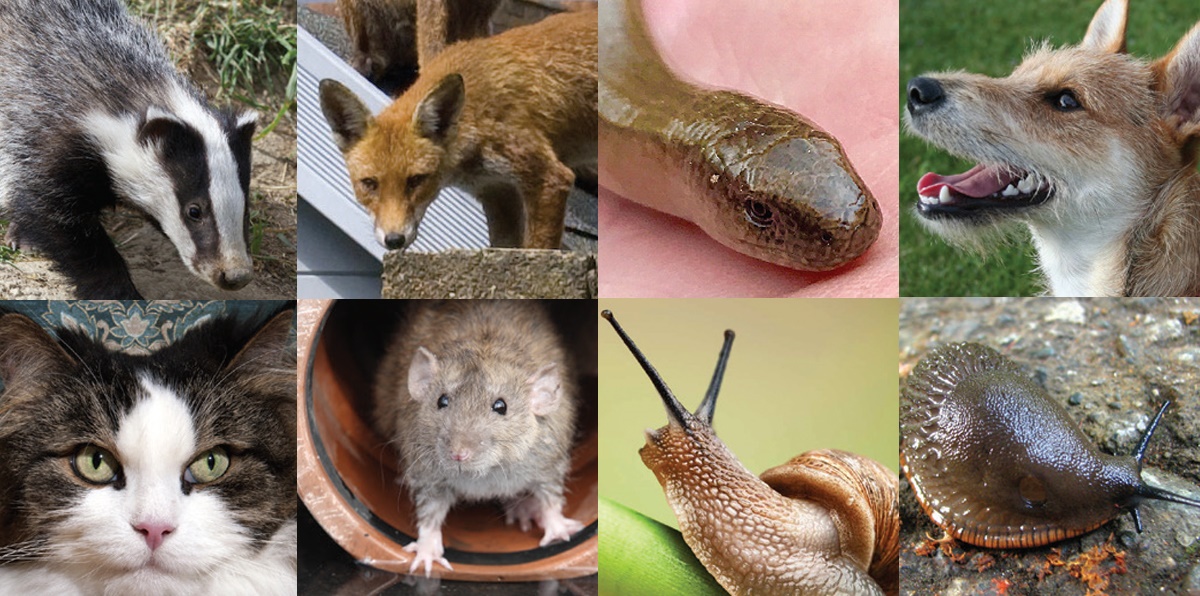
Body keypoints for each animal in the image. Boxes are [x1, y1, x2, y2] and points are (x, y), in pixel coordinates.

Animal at [319, 10, 597, 251]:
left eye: (416, 180)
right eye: (369, 184)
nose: (394, 240)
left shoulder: (550, 177)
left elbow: (537, 250)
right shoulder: (497, 192)